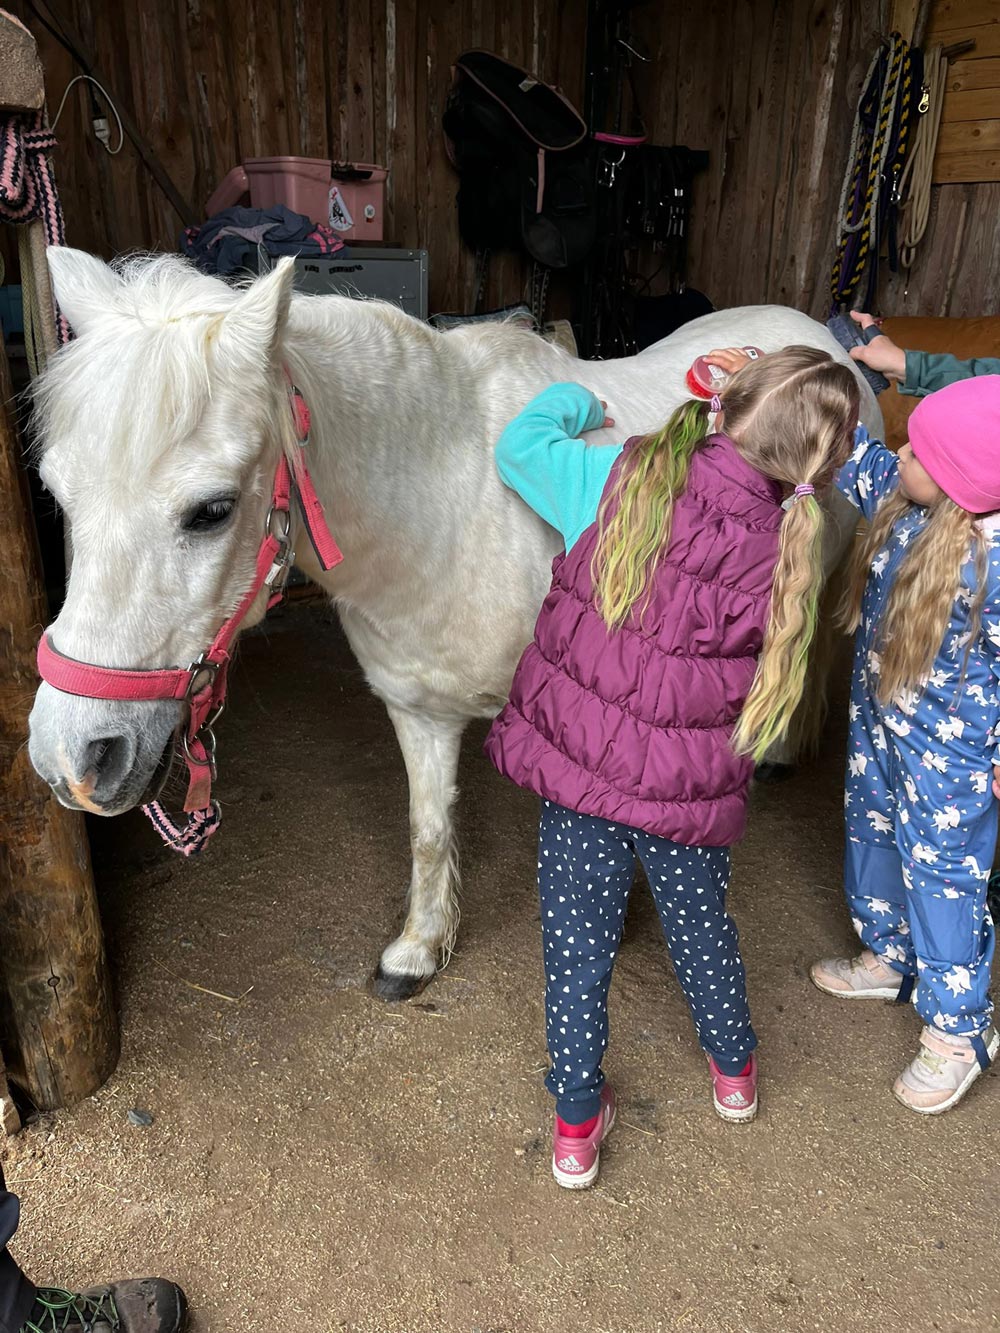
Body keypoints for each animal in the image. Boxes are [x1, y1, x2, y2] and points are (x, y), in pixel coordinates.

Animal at [27, 248, 883, 1000]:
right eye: (58, 495)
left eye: (212, 509)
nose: (71, 756)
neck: (453, 500)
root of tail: (816, 334)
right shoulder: (418, 709)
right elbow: (429, 828)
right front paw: (419, 948)